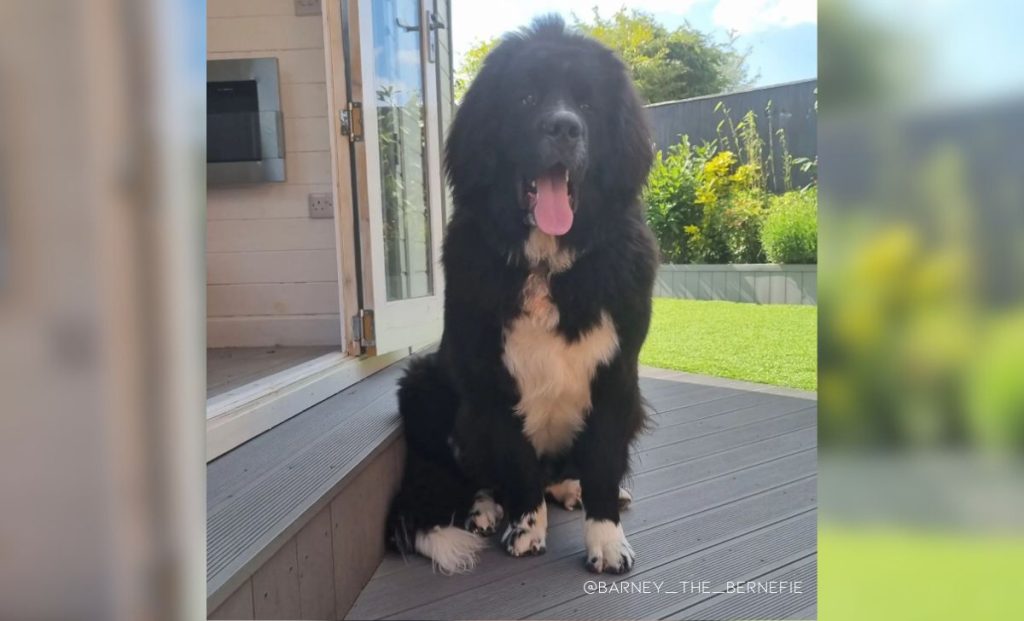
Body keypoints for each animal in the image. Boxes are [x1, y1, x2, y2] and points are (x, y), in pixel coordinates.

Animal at [385, 15, 655, 577]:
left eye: (588, 105)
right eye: (526, 98)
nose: (564, 128)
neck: (547, 263)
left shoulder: (618, 375)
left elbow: (602, 460)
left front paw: (606, 540)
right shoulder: (491, 378)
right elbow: (516, 464)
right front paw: (526, 531)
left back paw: (573, 489)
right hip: (423, 386)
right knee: (470, 473)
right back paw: (487, 510)